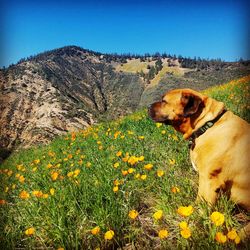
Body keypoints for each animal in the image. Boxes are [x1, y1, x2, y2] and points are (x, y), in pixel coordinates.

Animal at [149, 88, 250, 238]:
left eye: (164, 101)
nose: (147, 107)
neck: (207, 126)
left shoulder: (207, 181)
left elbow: (200, 205)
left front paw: (192, 225)